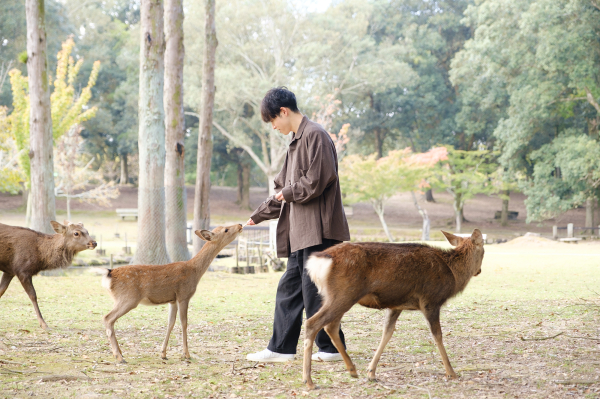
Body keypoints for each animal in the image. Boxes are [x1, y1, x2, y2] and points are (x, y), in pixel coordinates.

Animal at [101, 223, 244, 364]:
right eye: (226, 229)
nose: (240, 225)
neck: (195, 271)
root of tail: (109, 274)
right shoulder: (183, 295)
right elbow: (184, 322)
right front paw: (186, 354)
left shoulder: (172, 300)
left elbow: (170, 323)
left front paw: (163, 354)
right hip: (128, 298)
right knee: (108, 318)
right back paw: (119, 356)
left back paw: (120, 353)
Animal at [302, 230, 486, 390]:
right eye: (483, 251)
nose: (479, 271)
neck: (453, 274)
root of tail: (317, 261)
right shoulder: (430, 301)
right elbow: (437, 336)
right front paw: (451, 372)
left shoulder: (396, 305)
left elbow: (387, 332)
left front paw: (371, 372)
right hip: (344, 293)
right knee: (312, 323)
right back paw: (309, 381)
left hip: (334, 296)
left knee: (330, 326)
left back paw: (352, 370)